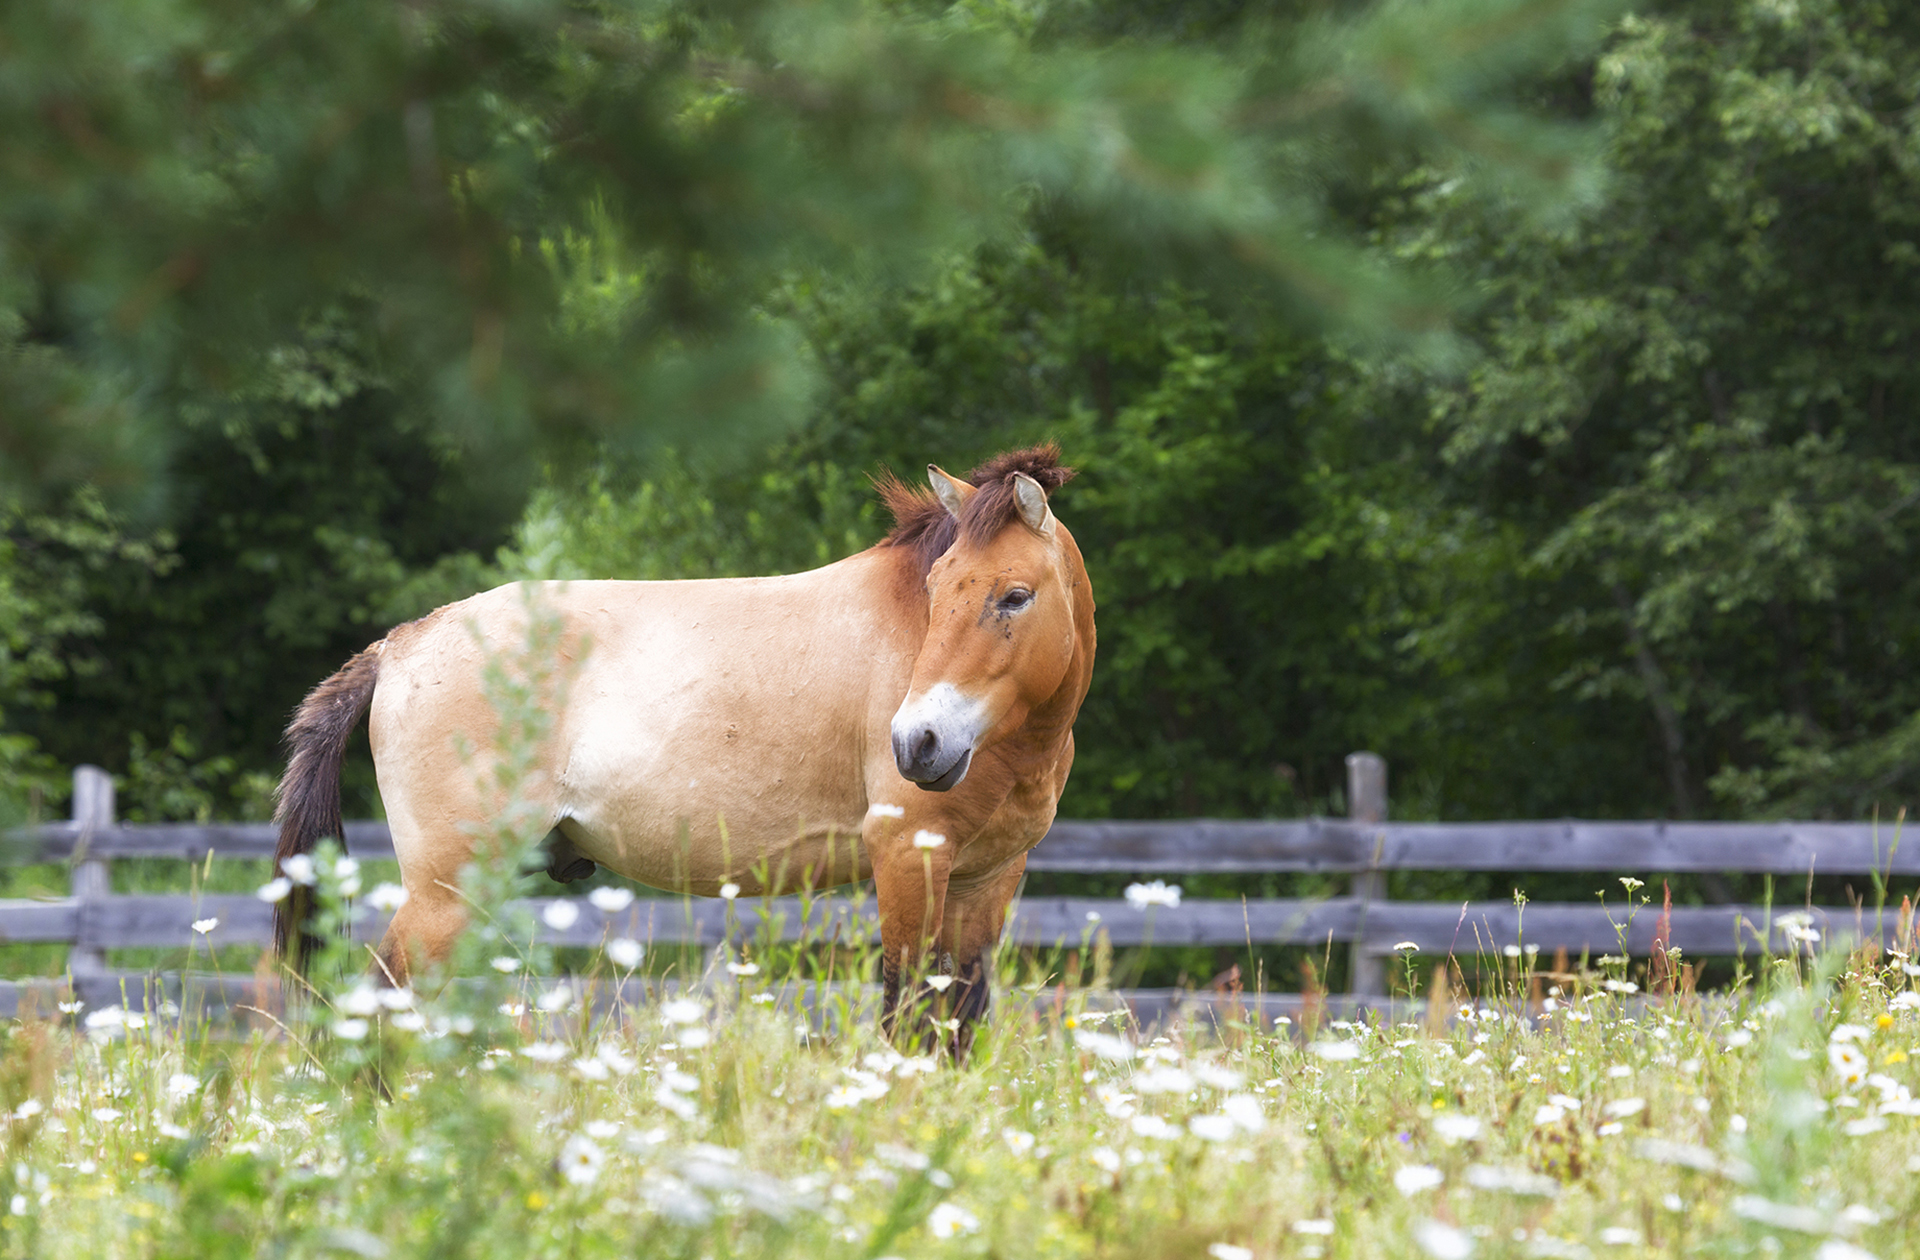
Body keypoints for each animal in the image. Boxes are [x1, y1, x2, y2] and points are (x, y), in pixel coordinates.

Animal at [278, 443, 1105, 1052]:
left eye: (1014, 596)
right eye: (936, 588)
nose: (918, 743)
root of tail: (398, 647)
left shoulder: (985, 878)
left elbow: (956, 1026)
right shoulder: (907, 857)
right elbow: (905, 1021)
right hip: (445, 897)